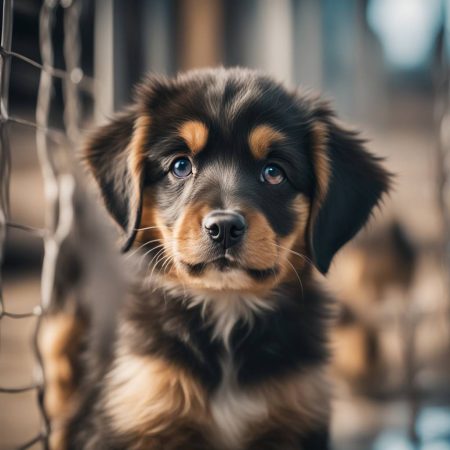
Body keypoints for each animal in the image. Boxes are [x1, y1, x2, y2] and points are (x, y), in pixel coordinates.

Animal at [46, 67, 390, 450]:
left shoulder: (295, 417)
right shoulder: (139, 409)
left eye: (274, 172)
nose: (224, 227)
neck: (226, 306)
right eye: (181, 165)